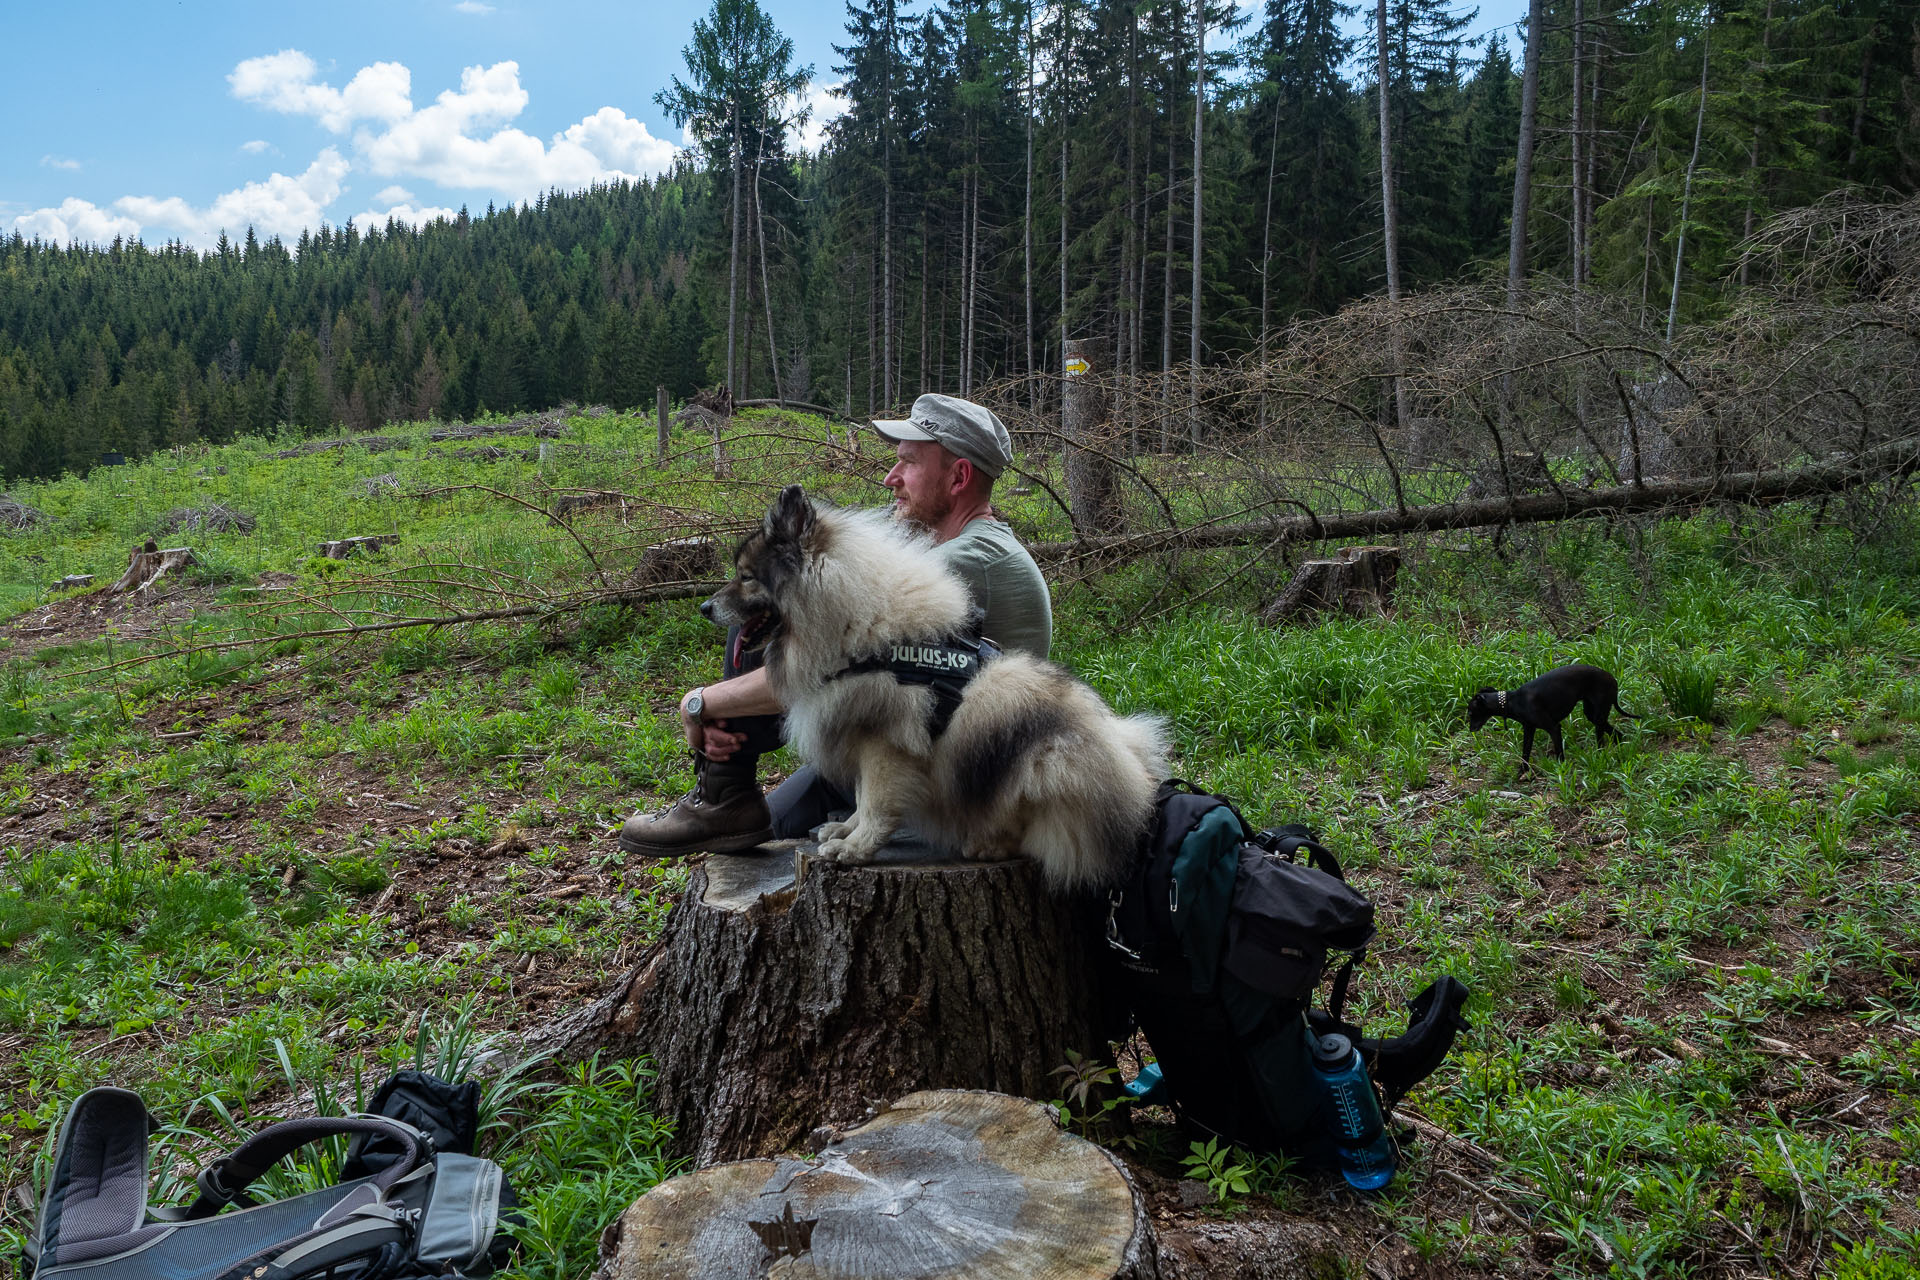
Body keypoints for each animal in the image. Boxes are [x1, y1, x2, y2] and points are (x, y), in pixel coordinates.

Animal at [1466, 667, 1635, 767]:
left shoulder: (1553, 727)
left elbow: (1559, 752)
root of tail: (1612, 678)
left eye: (1470, 712)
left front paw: (1561, 770)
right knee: (1618, 734)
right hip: (1593, 715)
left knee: (1603, 740)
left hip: (1598, 716)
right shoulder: (1529, 730)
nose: (1470, 729)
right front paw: (1522, 773)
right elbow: (1525, 753)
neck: (1512, 701)